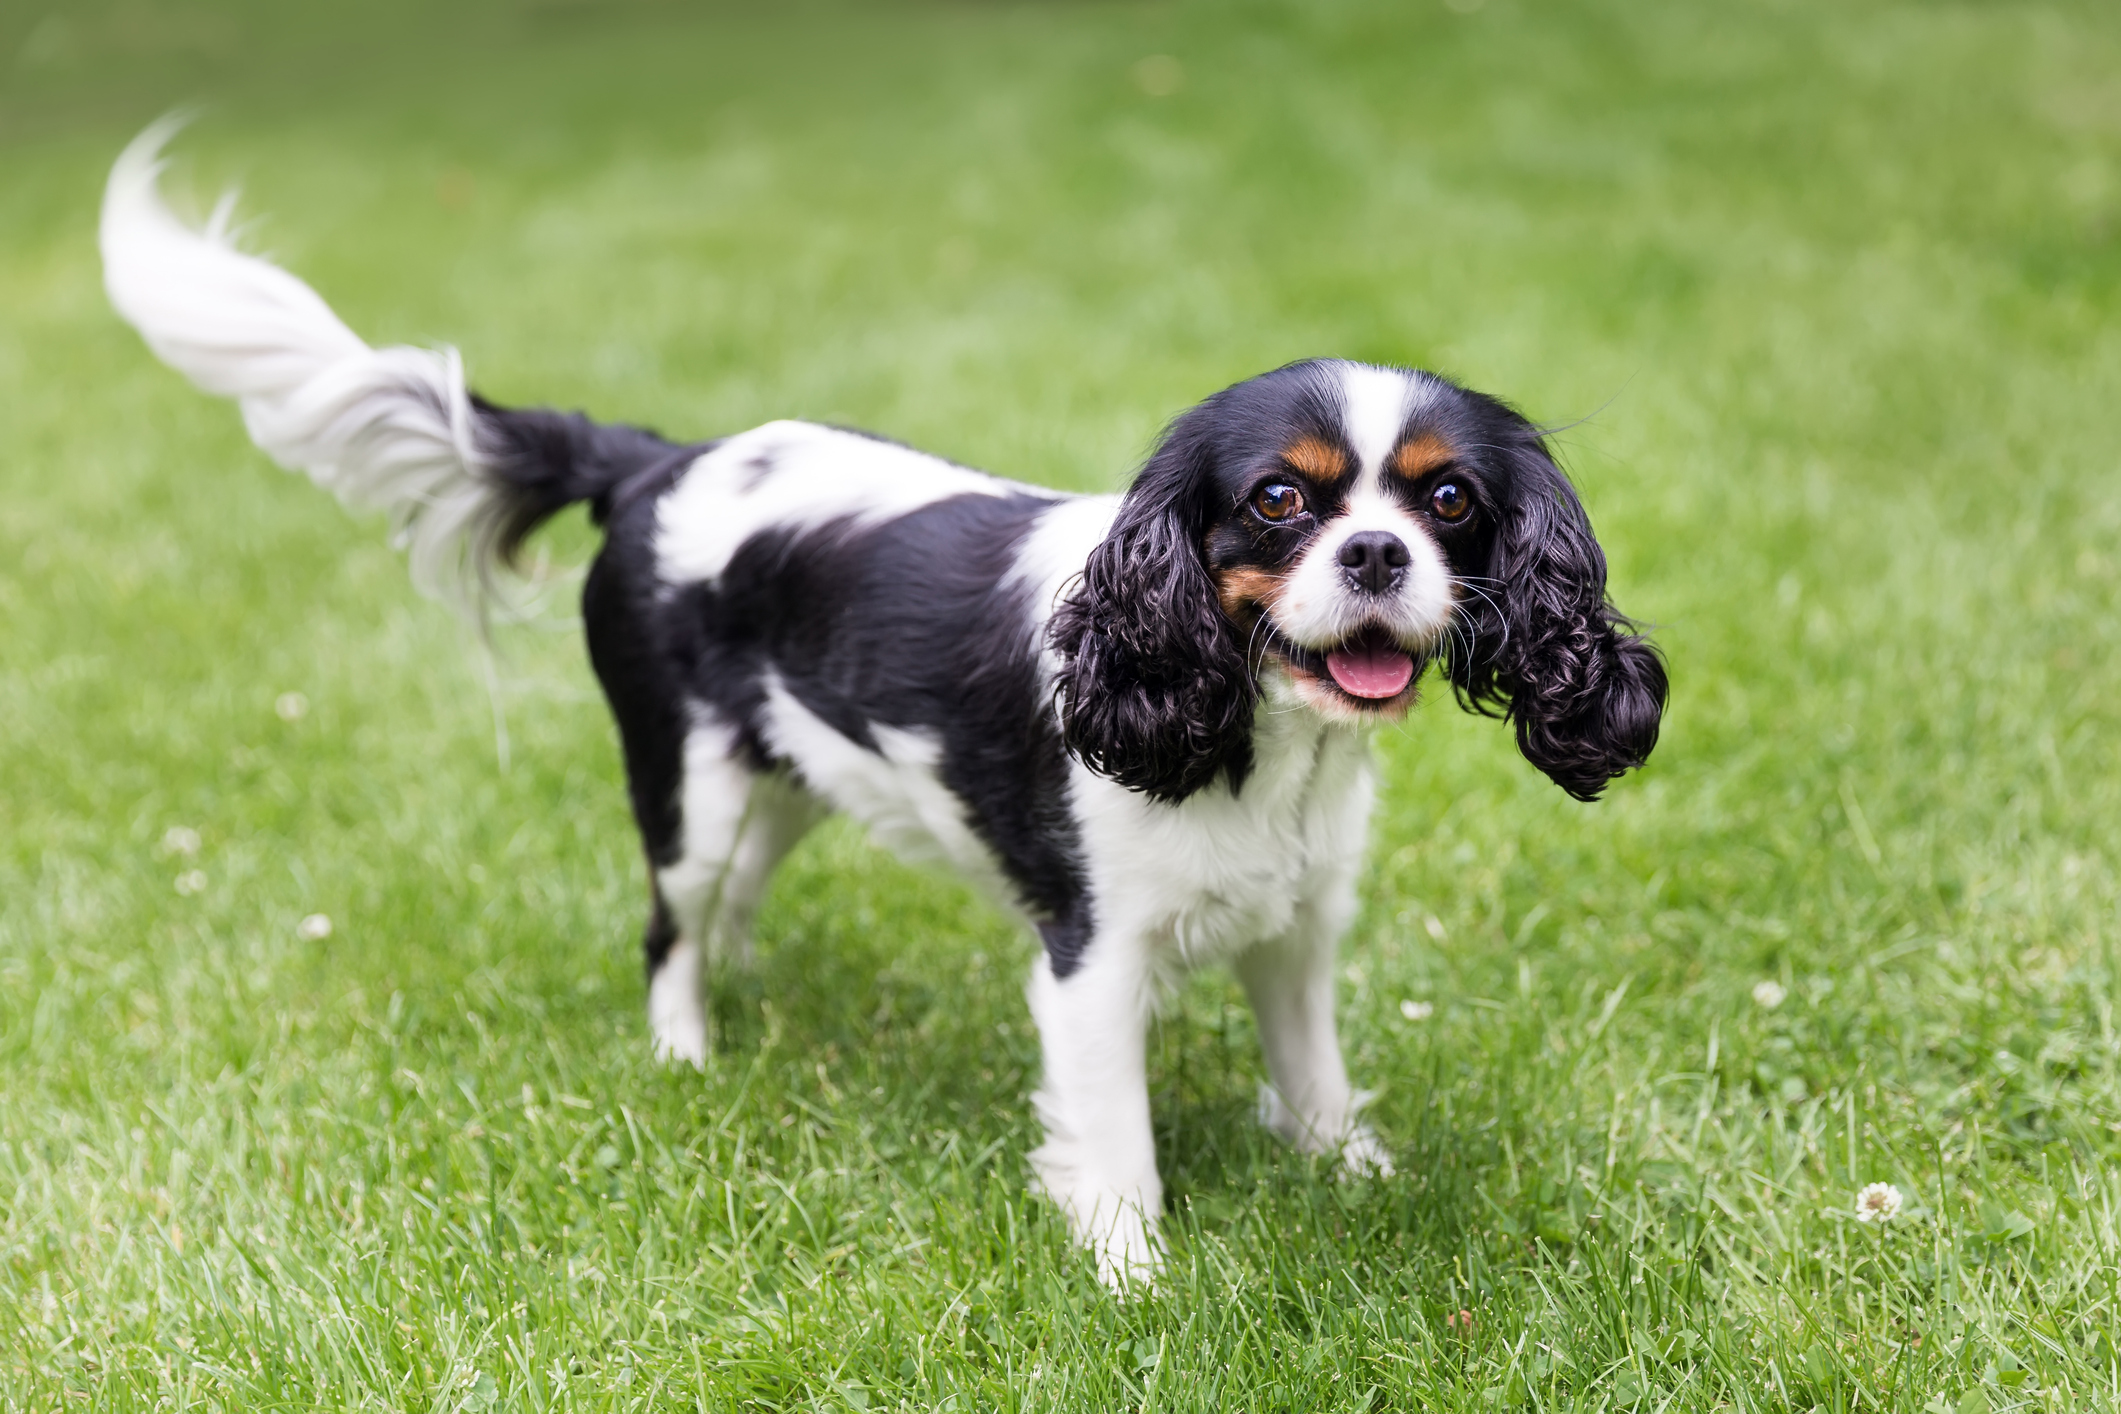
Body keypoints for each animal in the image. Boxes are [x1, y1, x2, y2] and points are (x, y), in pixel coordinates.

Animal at [99, 127, 1662, 1288]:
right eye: (1281, 500)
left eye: (1446, 501)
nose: (1379, 554)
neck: (1252, 728)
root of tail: (657, 461)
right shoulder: (1091, 958)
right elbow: (1117, 1141)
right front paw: (1135, 1277)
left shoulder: (1298, 924)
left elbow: (1318, 1075)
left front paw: (1352, 1175)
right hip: (691, 792)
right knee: (670, 926)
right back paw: (689, 1059)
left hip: (789, 783)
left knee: (729, 906)